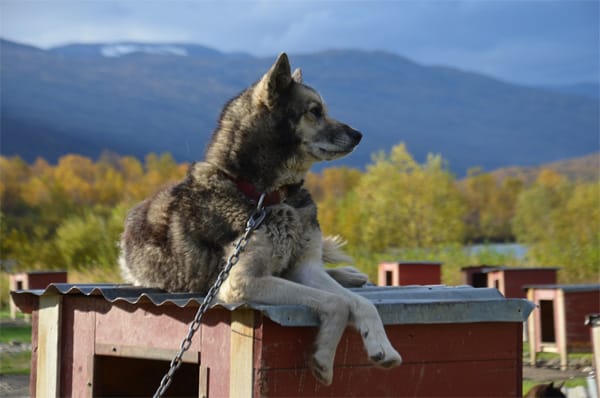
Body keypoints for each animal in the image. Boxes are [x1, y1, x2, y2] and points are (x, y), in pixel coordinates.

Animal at [120, 52, 404, 382]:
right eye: (315, 111)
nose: (359, 135)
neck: (267, 196)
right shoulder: (241, 281)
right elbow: (337, 302)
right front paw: (323, 357)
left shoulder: (305, 268)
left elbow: (360, 303)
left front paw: (382, 347)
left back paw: (351, 275)